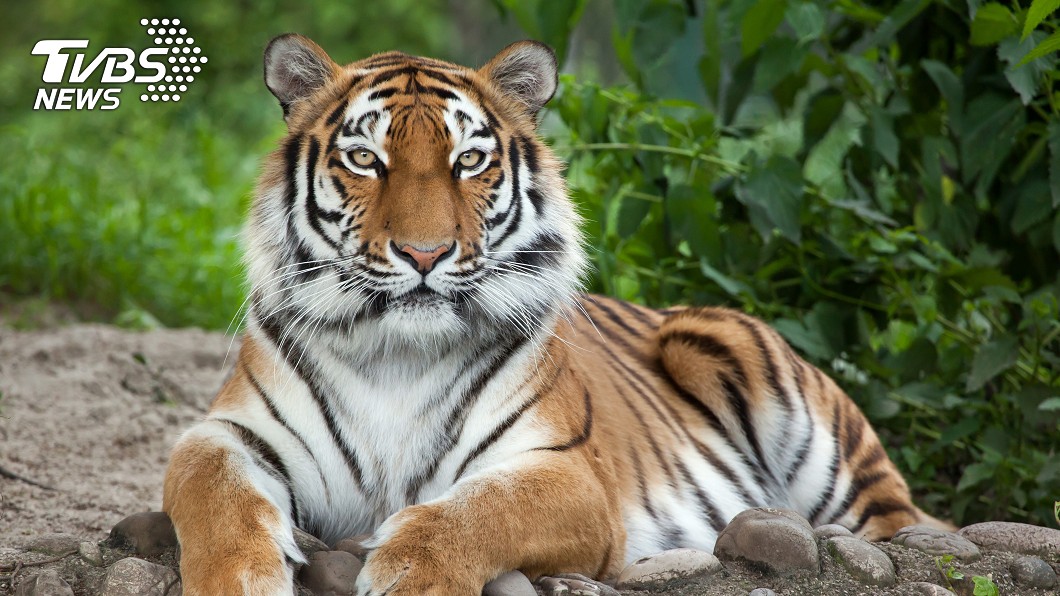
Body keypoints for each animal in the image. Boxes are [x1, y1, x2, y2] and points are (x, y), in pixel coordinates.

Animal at [162, 34, 950, 595]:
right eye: (365, 159)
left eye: (468, 161)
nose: (425, 253)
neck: (396, 354)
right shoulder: (229, 432)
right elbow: (212, 491)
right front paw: (239, 580)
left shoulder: (567, 473)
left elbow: (477, 511)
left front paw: (407, 572)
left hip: (747, 367)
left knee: (900, 525)